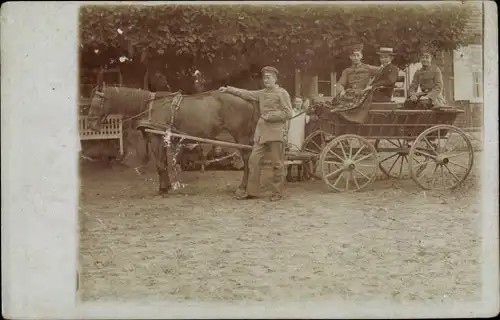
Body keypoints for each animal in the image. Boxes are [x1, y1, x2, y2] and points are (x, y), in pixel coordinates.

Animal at [86, 85, 260, 195]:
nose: (91, 125)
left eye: (96, 104)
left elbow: (160, 164)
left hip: (240, 135)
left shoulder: (156, 139)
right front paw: (167, 187)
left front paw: (163, 189)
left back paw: (243, 188)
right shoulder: (162, 139)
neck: (150, 107)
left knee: (247, 159)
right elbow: (164, 163)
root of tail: (247, 99)